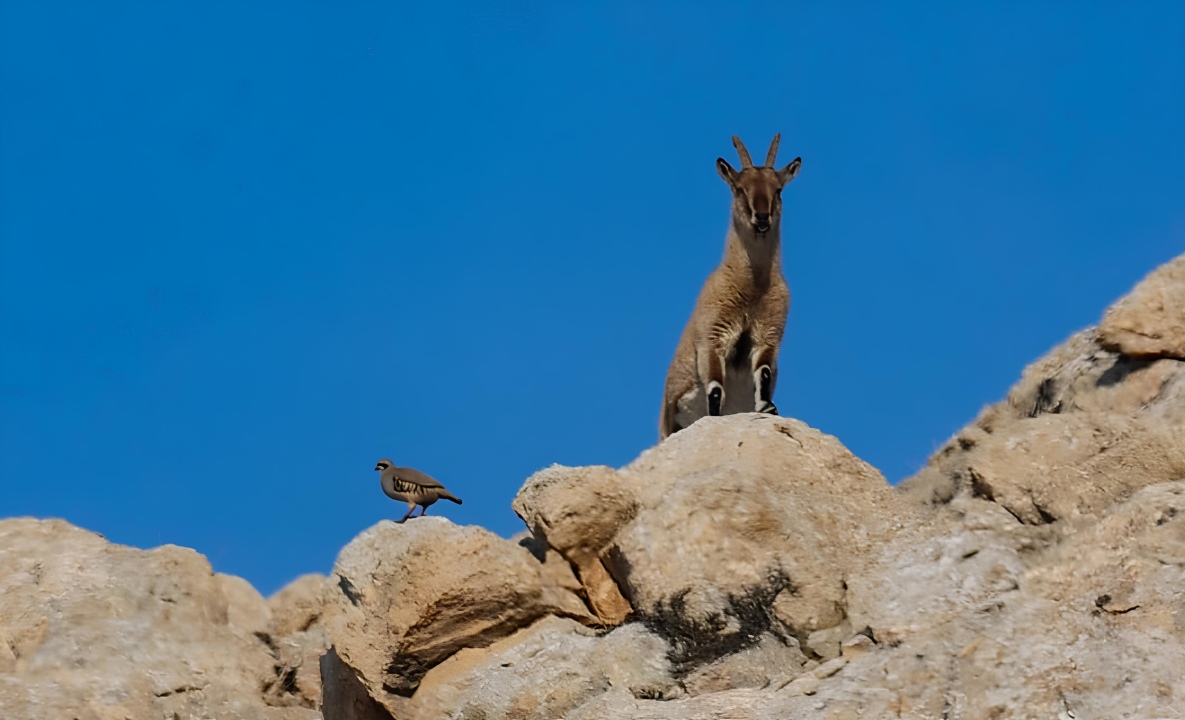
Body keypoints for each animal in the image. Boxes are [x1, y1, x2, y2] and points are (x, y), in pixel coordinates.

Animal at [658, 133, 805, 438]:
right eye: (739, 189)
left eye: (778, 190)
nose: (761, 218)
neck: (752, 288)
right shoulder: (712, 336)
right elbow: (715, 388)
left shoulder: (768, 333)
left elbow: (763, 373)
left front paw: (767, 407)